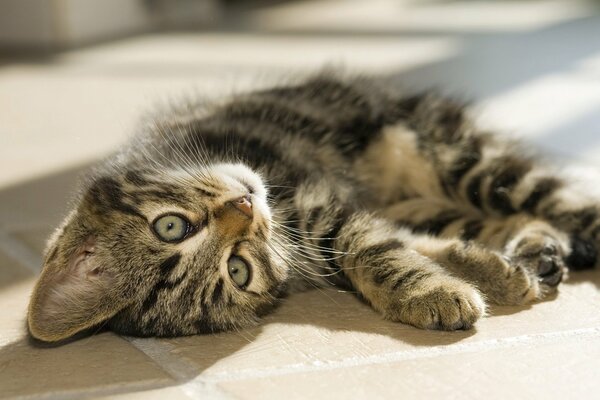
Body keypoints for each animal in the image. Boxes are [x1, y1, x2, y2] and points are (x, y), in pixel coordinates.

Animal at [27, 72, 596, 340]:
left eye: (170, 227)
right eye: (238, 271)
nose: (244, 204)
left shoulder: (320, 206)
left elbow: (378, 250)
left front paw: (448, 288)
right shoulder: (328, 230)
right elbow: (402, 249)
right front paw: (478, 279)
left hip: (455, 157)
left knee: (558, 197)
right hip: (427, 199)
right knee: (499, 217)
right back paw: (539, 251)